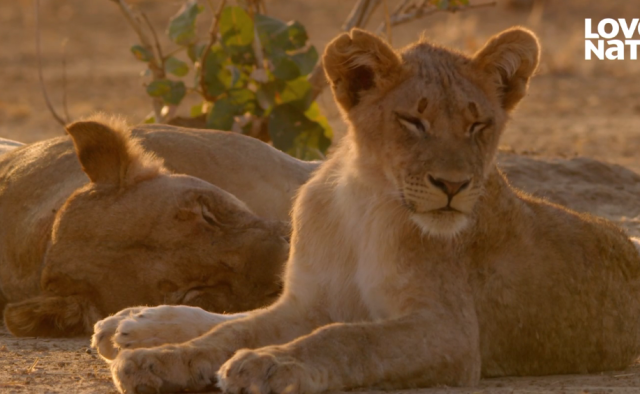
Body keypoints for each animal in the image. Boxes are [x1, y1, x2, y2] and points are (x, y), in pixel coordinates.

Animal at [95, 27, 640, 394]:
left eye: (477, 125)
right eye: (413, 121)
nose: (453, 185)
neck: (365, 202)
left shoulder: (452, 333)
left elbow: (347, 338)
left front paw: (270, 365)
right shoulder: (307, 302)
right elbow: (234, 329)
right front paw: (161, 361)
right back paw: (132, 326)